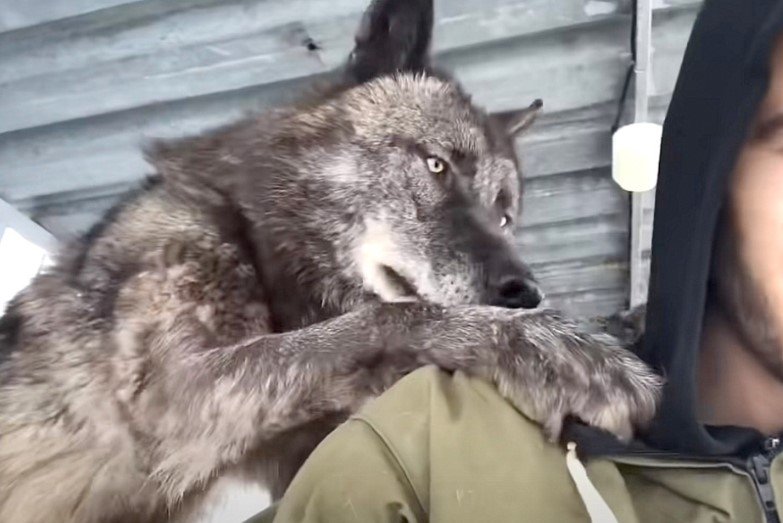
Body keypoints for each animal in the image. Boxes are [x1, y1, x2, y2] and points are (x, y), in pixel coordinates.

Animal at [0, 0, 660, 520]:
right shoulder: (172, 394)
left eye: (504, 217)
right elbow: (387, 320)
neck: (259, 244)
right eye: (436, 165)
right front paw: (553, 349)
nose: (524, 293)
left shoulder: (298, 446)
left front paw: (618, 324)